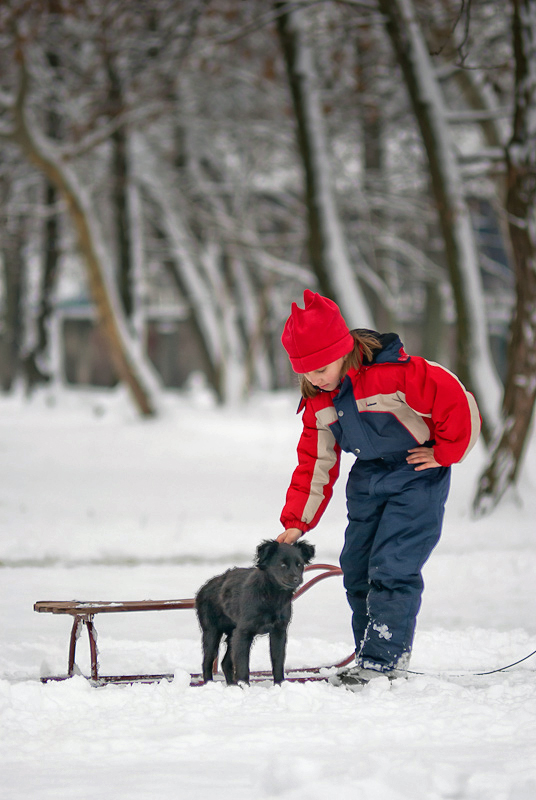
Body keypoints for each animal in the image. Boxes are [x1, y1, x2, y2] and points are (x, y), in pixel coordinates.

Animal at [196, 536, 314, 680]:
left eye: (299, 564)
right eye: (282, 565)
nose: (297, 579)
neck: (271, 596)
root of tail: (205, 587)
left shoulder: (278, 632)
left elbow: (278, 663)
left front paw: (279, 684)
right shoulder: (244, 633)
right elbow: (243, 667)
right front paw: (244, 685)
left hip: (232, 634)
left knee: (225, 663)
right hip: (212, 633)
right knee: (207, 663)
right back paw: (210, 683)